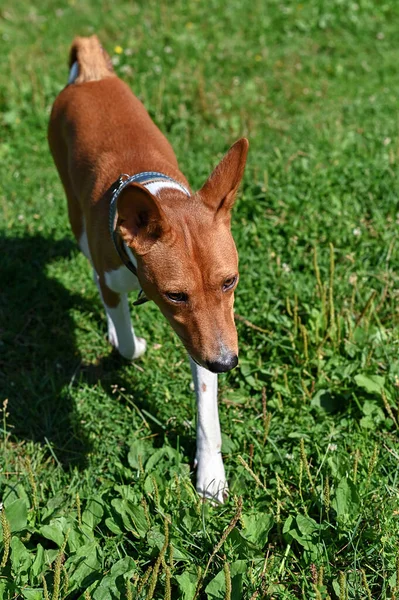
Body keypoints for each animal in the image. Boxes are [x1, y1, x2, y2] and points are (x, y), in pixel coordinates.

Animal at [48, 34, 248, 502]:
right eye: (175, 295)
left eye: (229, 281)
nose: (227, 363)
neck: (156, 191)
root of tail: (91, 75)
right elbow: (124, 341)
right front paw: (129, 340)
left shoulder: (206, 334)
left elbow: (206, 407)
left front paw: (211, 474)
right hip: (76, 219)